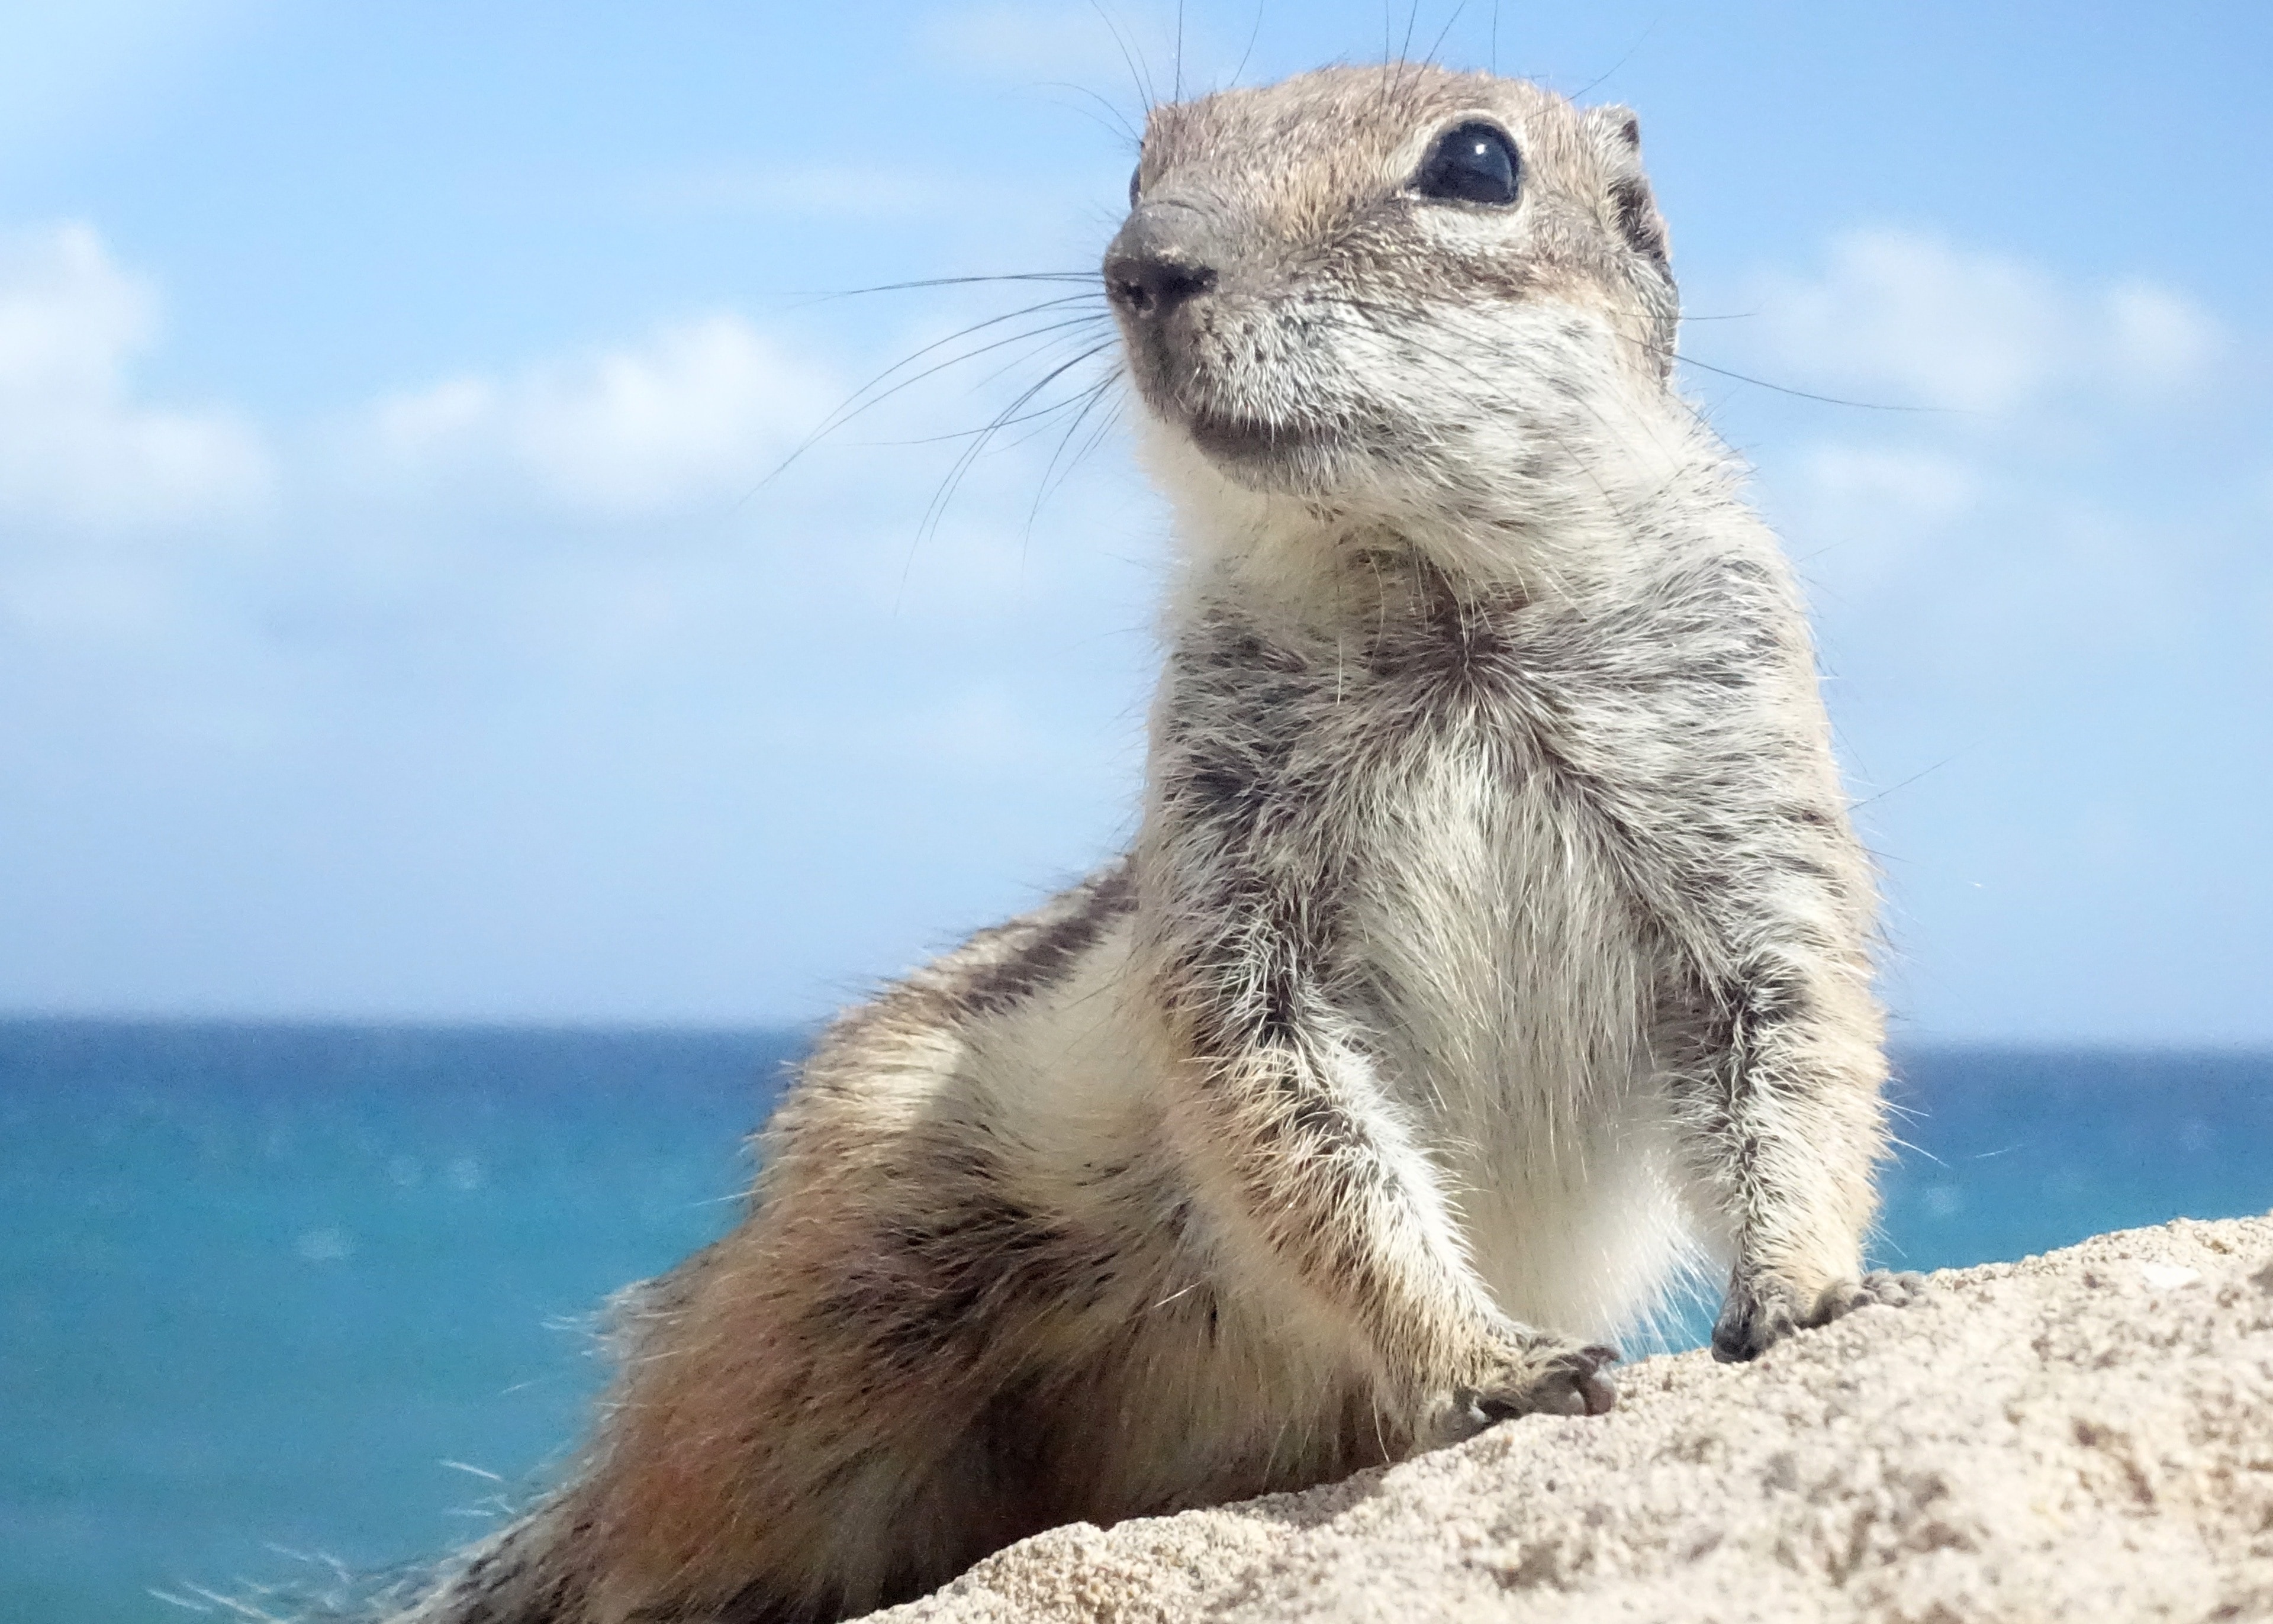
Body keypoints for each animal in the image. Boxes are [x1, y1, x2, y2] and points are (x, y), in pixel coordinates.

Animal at [386, 57, 1918, 1617]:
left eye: (1479, 164)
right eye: (1141, 167)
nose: (1144, 265)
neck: (1435, 608)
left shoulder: (1744, 816)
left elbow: (1793, 1053)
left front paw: (1806, 1286)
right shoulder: (1228, 900)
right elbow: (1292, 1129)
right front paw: (1490, 1358)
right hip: (830, 1322)